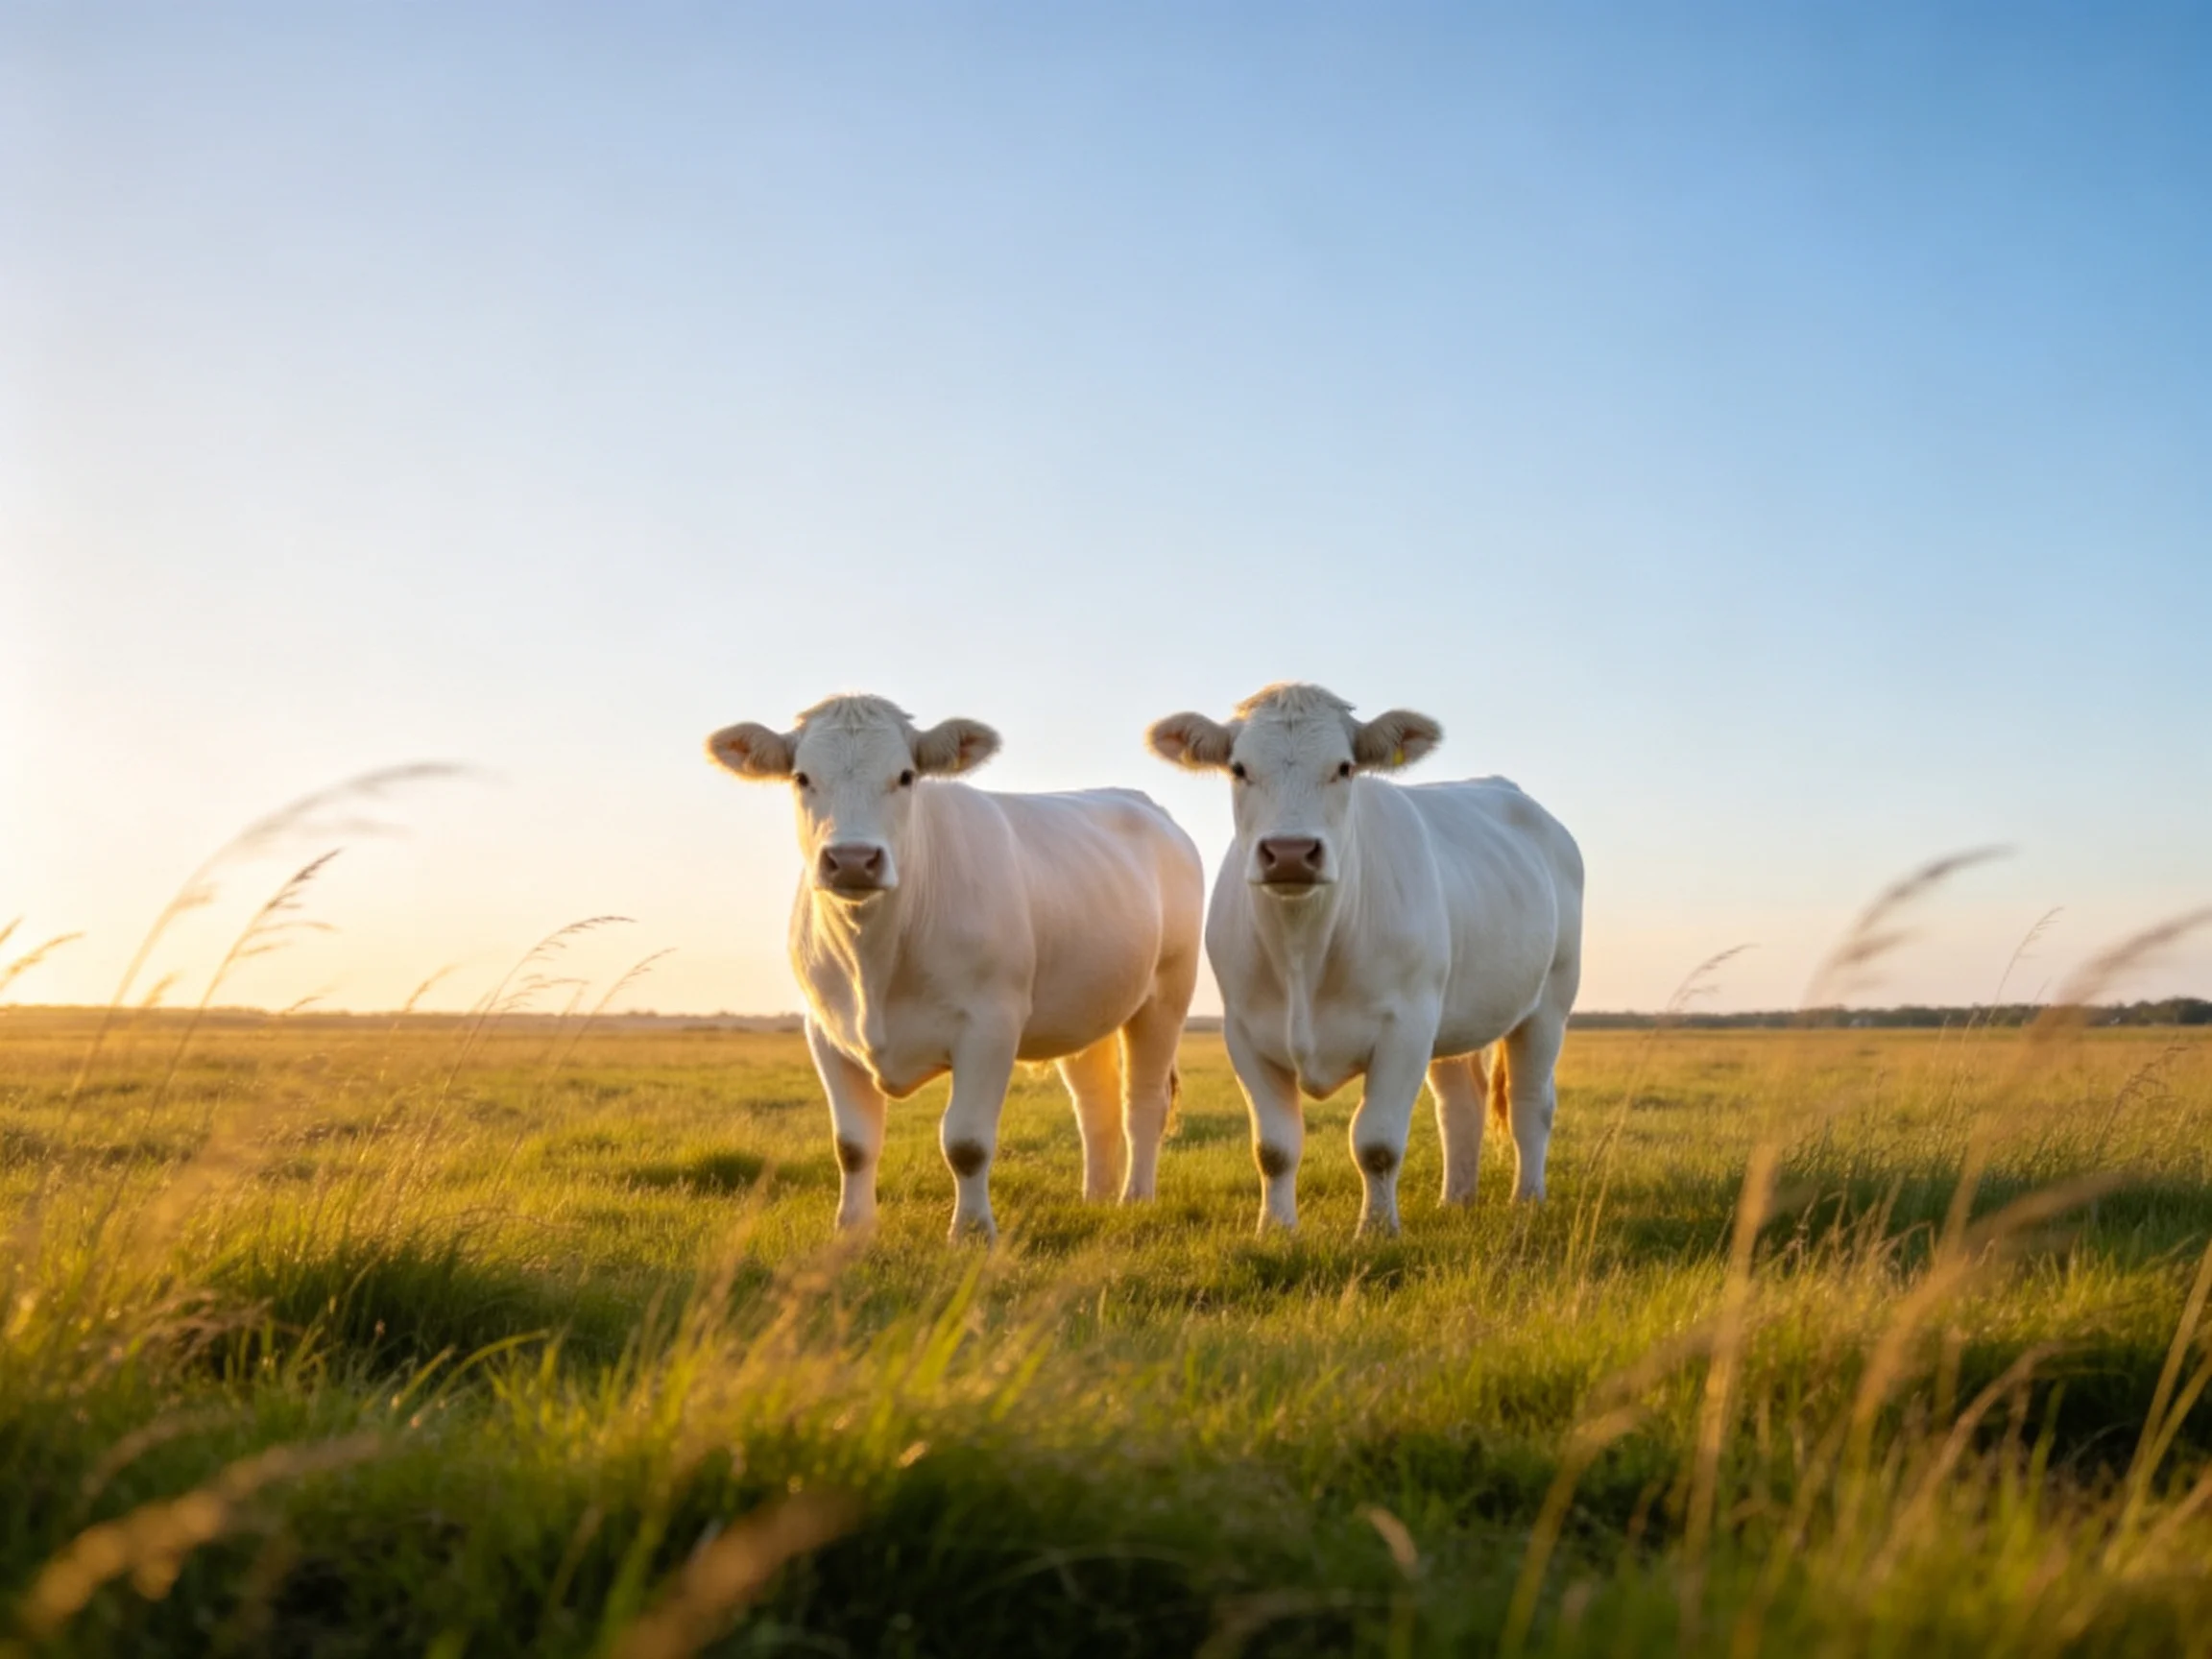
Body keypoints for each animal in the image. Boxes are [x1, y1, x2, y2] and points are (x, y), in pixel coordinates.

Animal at [707, 694, 1204, 1241]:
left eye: (905, 775)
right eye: (801, 777)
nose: (853, 859)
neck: (875, 964)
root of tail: (1139, 801)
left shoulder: (990, 1026)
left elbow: (966, 1142)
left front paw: (971, 1232)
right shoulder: (825, 1031)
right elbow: (853, 1144)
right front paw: (852, 1230)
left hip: (1165, 996)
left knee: (1144, 1103)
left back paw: (1135, 1199)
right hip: (1086, 1006)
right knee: (1097, 1104)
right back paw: (1095, 1198)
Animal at [1146, 683, 1583, 1235]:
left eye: (1345, 767)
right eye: (1239, 768)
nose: (1291, 852)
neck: (1303, 952)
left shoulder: (1406, 1027)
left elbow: (1376, 1142)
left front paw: (1376, 1230)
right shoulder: (1243, 1033)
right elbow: (1273, 1147)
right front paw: (1276, 1229)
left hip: (1549, 1003)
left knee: (1531, 1103)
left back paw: (1526, 1201)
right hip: (1455, 1013)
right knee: (1461, 1103)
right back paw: (1455, 1200)